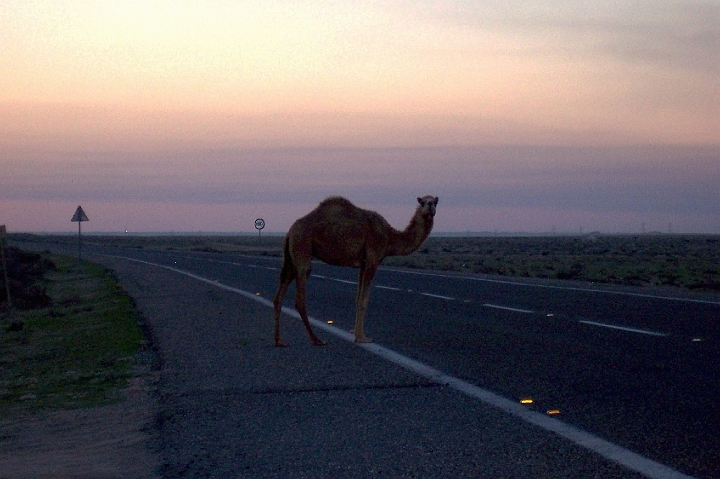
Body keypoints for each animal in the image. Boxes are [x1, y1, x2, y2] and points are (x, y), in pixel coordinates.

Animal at [273, 195, 438, 346]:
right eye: (423, 202)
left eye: (435, 201)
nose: (430, 207)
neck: (390, 237)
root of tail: (290, 232)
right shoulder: (372, 260)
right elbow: (364, 300)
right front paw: (362, 338)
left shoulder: (363, 264)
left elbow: (358, 298)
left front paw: (356, 332)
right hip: (302, 248)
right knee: (300, 299)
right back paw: (317, 339)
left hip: (290, 258)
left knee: (278, 296)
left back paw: (279, 340)